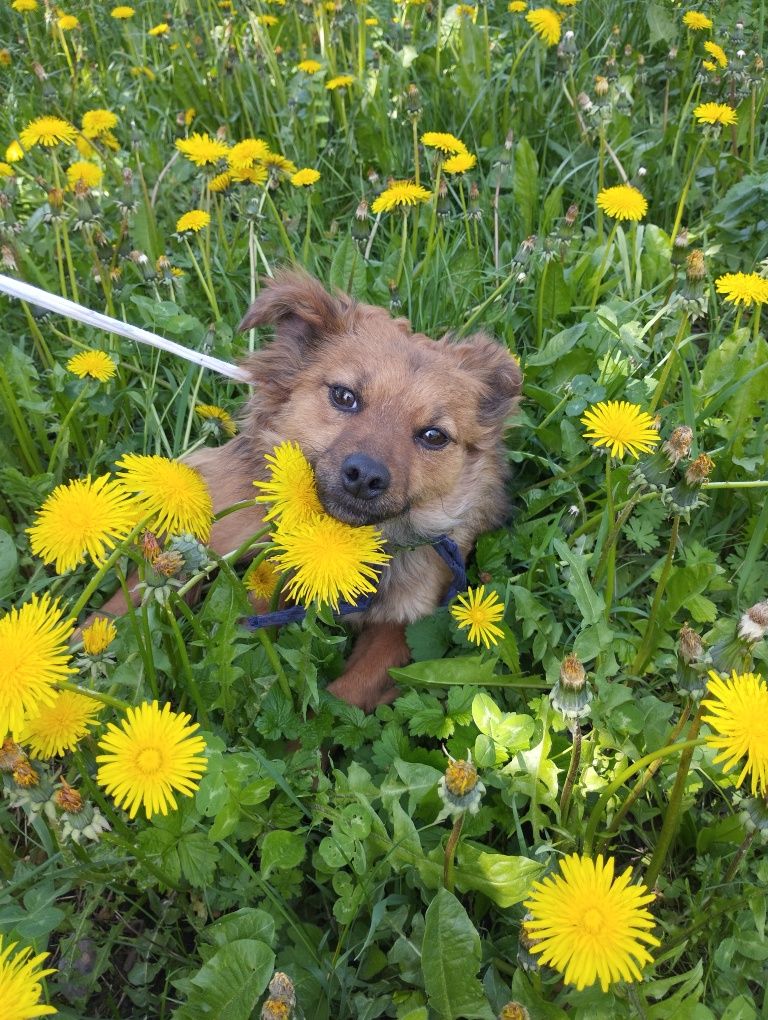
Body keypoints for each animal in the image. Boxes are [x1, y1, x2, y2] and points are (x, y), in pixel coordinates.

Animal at [95, 271, 522, 709]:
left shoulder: (401, 628)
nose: (364, 476)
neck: (346, 540)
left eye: (434, 436)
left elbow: (345, 696)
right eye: (344, 396)